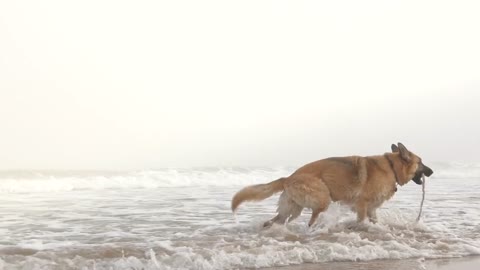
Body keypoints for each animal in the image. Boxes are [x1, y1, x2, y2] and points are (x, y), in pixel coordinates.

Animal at [232, 143, 436, 228]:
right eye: (421, 162)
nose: (432, 172)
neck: (391, 167)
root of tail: (288, 177)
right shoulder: (362, 205)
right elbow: (361, 220)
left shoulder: (371, 209)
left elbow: (374, 221)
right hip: (323, 198)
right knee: (311, 219)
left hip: (291, 209)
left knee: (276, 221)